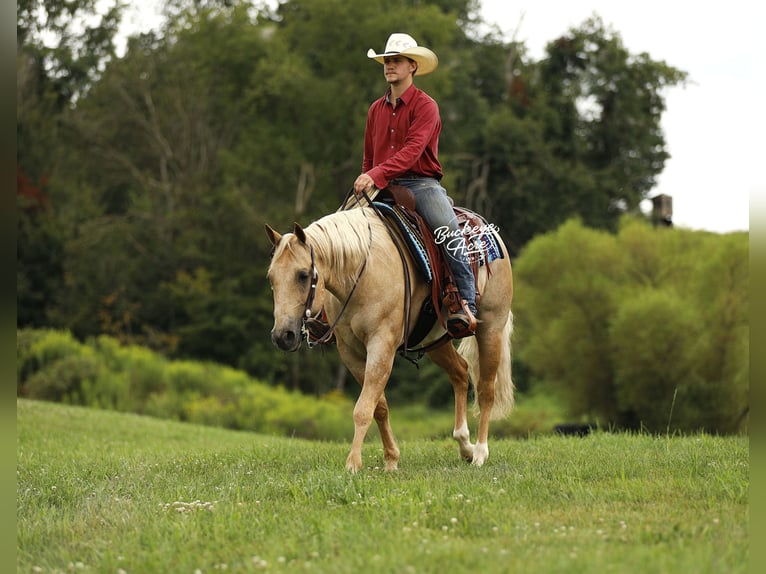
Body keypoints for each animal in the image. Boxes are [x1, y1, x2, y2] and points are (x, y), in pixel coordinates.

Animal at [265, 204, 514, 472]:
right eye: (271, 277)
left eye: (303, 275)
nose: (283, 336)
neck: (362, 273)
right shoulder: (350, 351)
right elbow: (379, 406)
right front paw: (391, 459)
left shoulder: (381, 344)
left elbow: (364, 408)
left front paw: (353, 464)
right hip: (435, 341)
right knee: (460, 371)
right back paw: (464, 445)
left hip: (491, 327)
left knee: (486, 389)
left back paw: (479, 453)